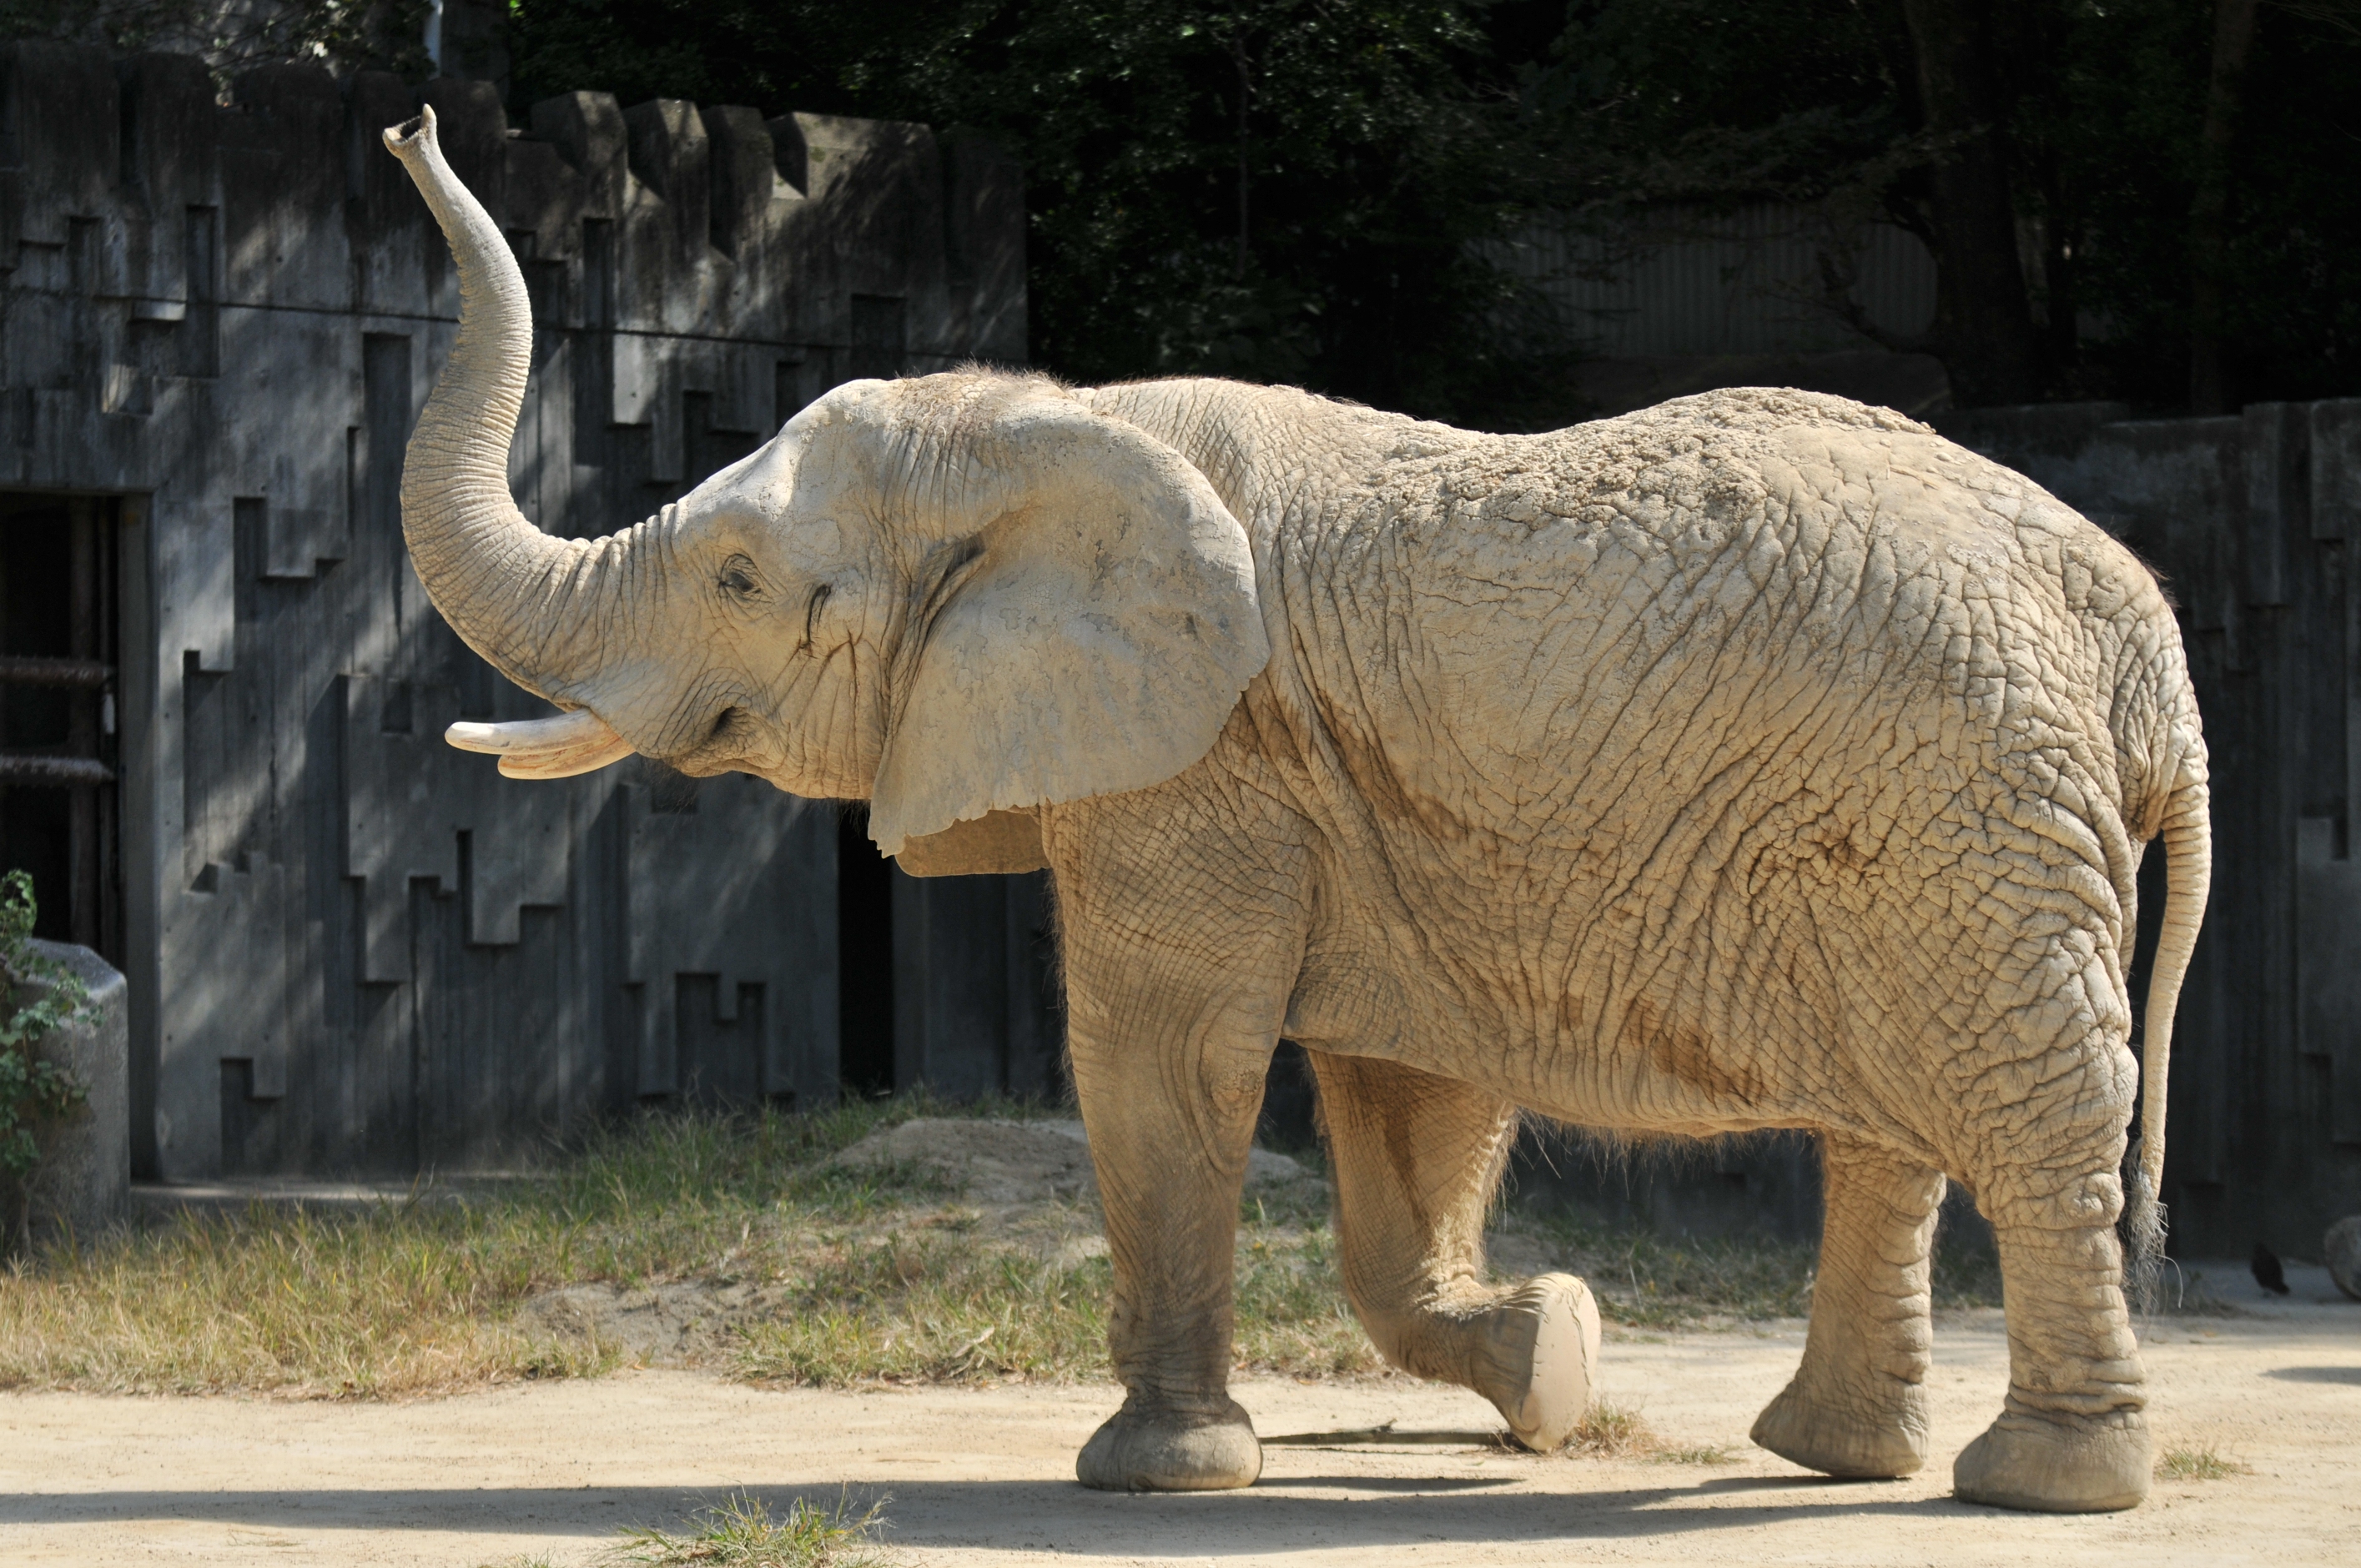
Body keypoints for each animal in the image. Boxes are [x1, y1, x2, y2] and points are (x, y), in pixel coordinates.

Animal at [377, 103, 2200, 1511]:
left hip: (1965, 814)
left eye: (742, 580)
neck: (1053, 423)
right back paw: (1834, 1455)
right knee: (1897, 1129)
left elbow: (1162, 1060)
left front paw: (1155, 1475)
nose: (407, 123)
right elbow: (1407, 1097)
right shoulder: (1354, 793)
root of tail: (2140, 640)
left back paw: (2041, 1485)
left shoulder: (1203, 763)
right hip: (1937, 829)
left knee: (2022, 1108)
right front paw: (1553, 1362)